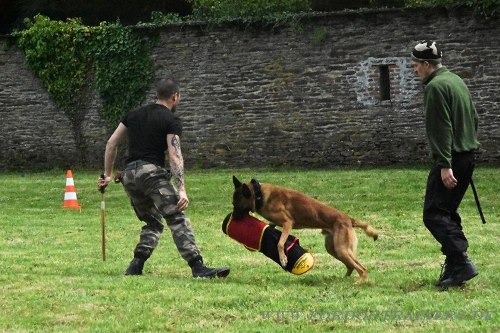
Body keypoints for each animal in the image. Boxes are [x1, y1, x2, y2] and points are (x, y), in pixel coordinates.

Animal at [233, 174, 378, 282]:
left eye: (236, 204)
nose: (232, 218)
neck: (259, 195)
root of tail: (349, 219)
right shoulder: (277, 222)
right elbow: (271, 227)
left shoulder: (288, 223)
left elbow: (280, 243)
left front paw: (283, 259)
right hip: (334, 249)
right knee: (351, 266)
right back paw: (343, 279)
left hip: (342, 249)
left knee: (362, 269)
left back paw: (358, 282)